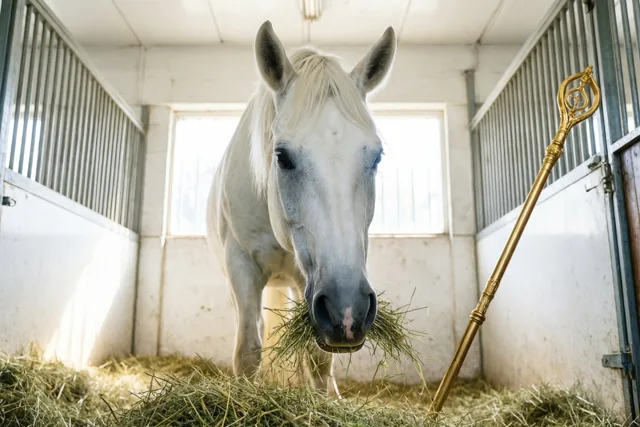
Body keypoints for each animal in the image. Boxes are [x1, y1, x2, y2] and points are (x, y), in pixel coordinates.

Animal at [205, 20, 397, 393]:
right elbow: (248, 351)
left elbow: (318, 361)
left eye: (377, 156)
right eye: (282, 157)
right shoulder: (240, 266)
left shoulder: (305, 281)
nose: (348, 311)